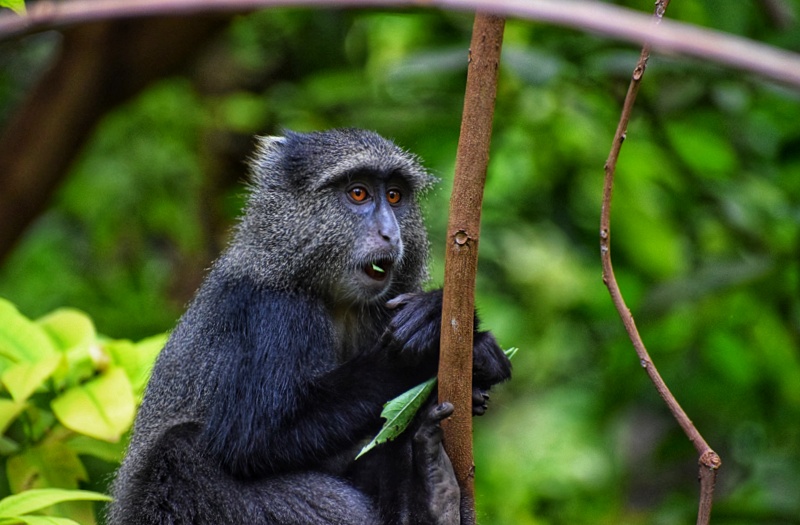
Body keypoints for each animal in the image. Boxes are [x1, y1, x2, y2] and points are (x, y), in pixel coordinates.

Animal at [107, 129, 512, 525]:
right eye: (358, 193)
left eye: (394, 196)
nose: (390, 233)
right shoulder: (275, 311)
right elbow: (254, 434)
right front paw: (432, 339)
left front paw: (478, 358)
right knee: (179, 450)